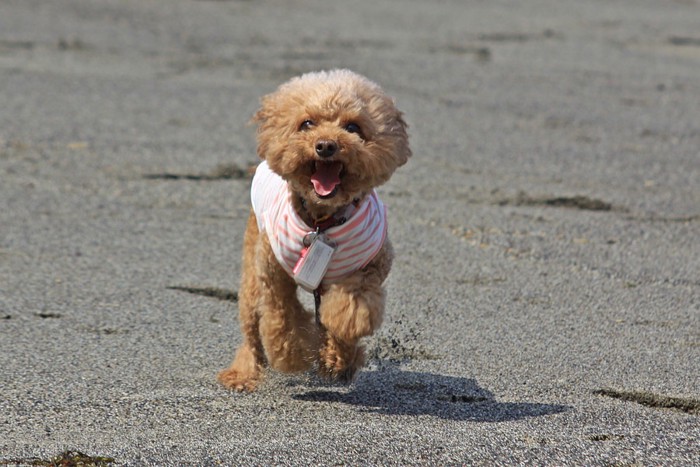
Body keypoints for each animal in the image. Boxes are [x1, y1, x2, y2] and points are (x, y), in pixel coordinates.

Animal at [216, 69, 408, 392]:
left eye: (353, 127)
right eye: (307, 123)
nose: (326, 145)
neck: (322, 222)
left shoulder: (369, 265)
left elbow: (349, 312)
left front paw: (338, 358)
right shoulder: (272, 269)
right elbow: (282, 315)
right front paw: (296, 353)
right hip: (252, 267)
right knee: (252, 327)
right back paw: (243, 374)